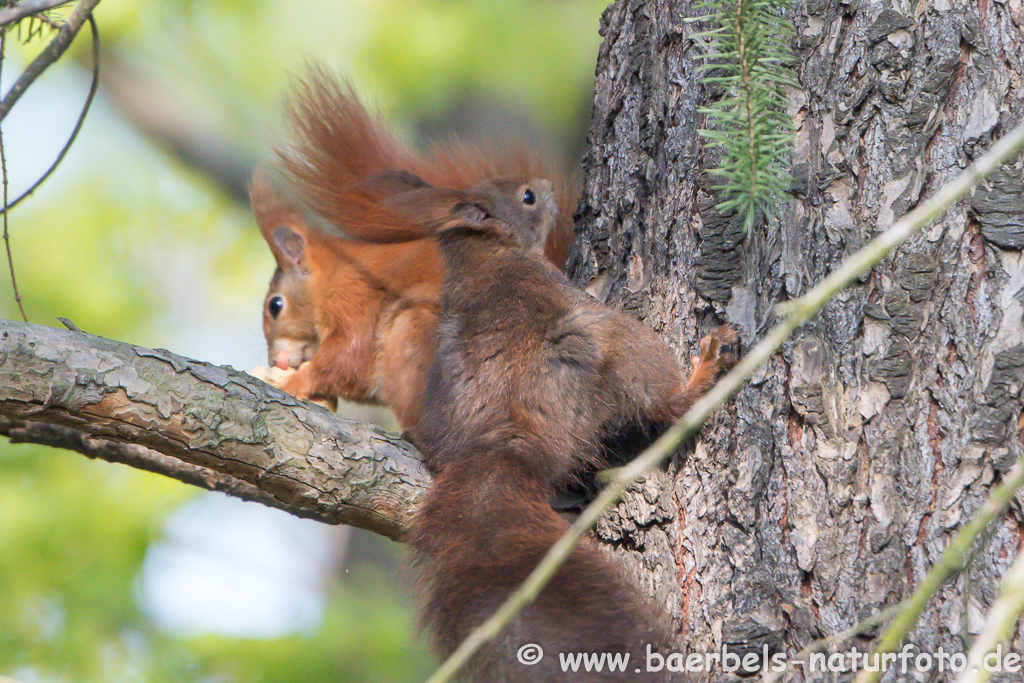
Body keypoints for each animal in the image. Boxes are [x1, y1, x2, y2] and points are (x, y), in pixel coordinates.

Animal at [250, 68, 577, 428]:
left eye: (275, 306)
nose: (275, 360)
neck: (333, 274)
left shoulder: (354, 298)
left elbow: (348, 360)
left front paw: (293, 381)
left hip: (415, 335)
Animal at [354, 171, 737, 679]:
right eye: (527, 197)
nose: (547, 185)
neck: (483, 252)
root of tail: (510, 438)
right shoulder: (557, 283)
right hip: (626, 346)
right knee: (665, 403)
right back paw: (703, 373)